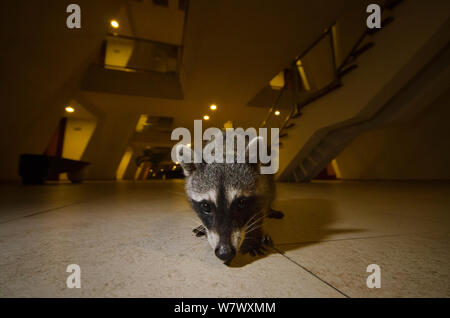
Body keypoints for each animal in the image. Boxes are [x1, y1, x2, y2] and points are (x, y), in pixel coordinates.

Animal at [175, 131, 282, 264]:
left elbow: (259, 208)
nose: (224, 252)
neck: (224, 152)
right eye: (206, 206)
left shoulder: (262, 182)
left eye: (241, 203)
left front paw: (254, 233)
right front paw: (203, 226)